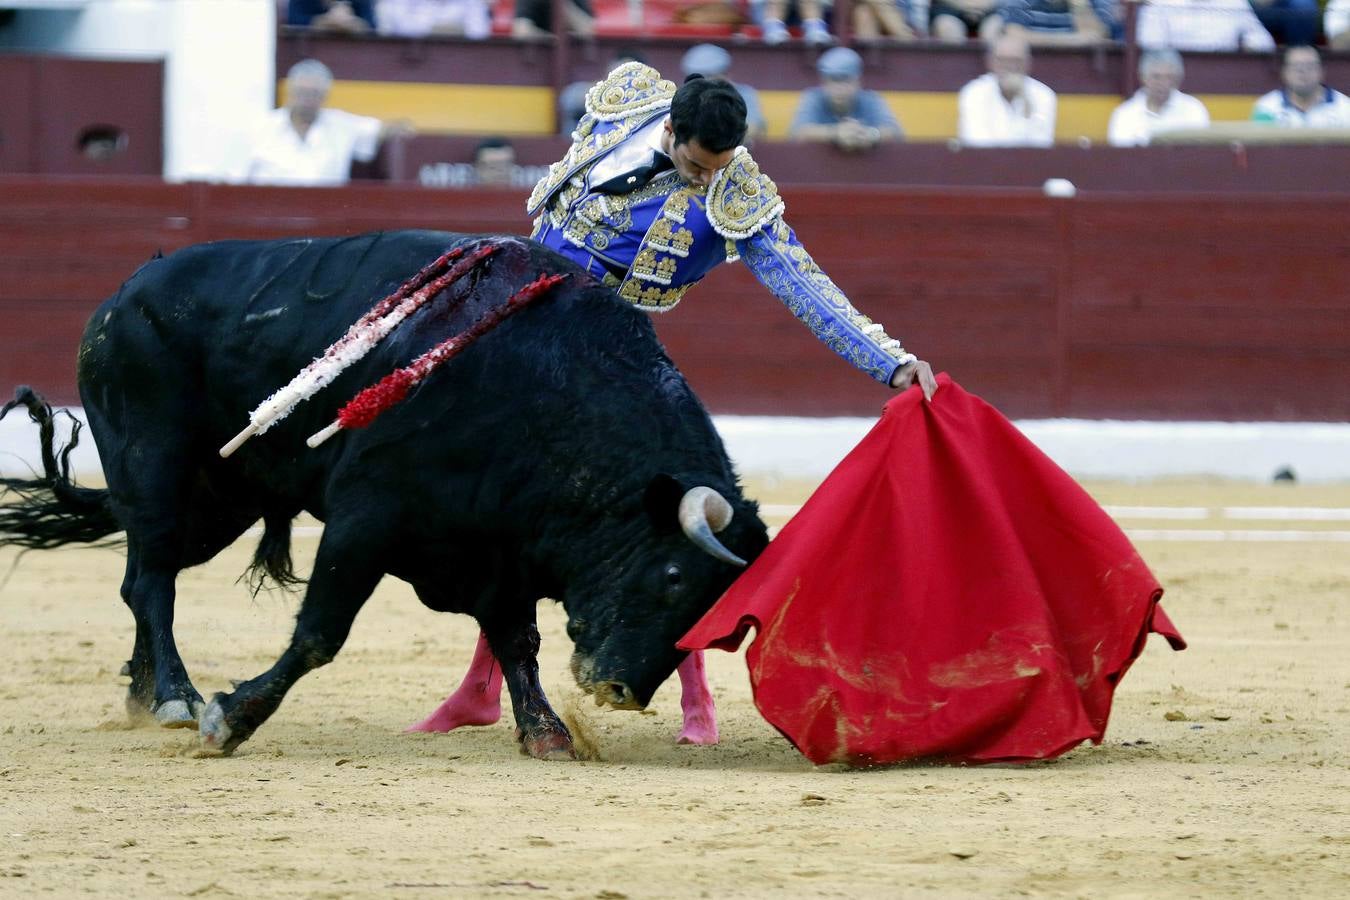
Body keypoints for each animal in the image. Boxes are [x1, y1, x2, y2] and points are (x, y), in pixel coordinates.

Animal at [2, 232, 772, 761]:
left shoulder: (498, 547)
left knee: (140, 577)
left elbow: (517, 640)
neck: (549, 390)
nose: (621, 691)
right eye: (672, 577)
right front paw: (232, 719)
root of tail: (124, 291)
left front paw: (547, 733)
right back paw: (174, 698)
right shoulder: (365, 518)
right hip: (155, 466)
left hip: (220, 501)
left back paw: (143, 695)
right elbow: (320, 634)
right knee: (153, 580)